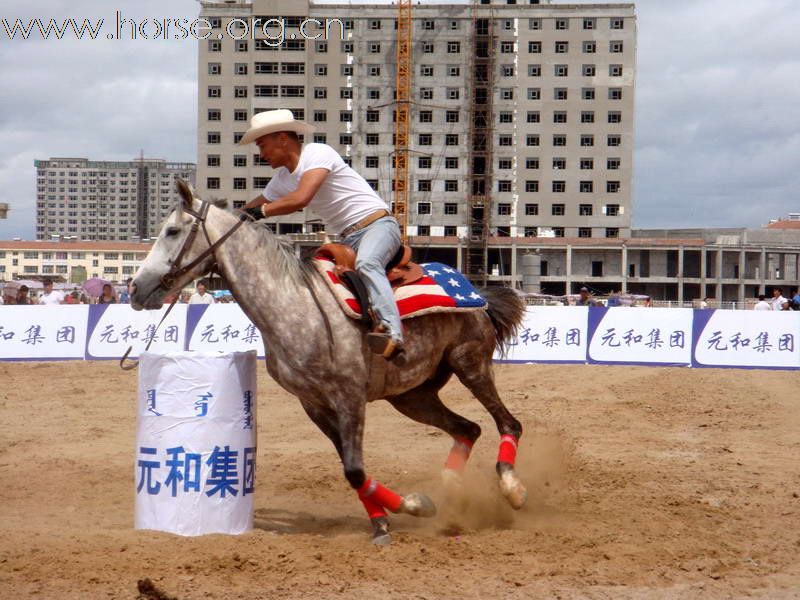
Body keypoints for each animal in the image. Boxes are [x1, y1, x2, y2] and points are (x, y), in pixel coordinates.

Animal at [130, 182, 532, 544]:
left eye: (173, 231)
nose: (135, 288)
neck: (294, 303)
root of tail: (473, 291)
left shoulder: (349, 397)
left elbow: (354, 468)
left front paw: (404, 511)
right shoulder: (315, 405)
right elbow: (352, 470)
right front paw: (398, 514)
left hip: (470, 363)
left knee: (508, 423)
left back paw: (513, 488)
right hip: (412, 396)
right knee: (468, 429)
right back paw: (450, 494)